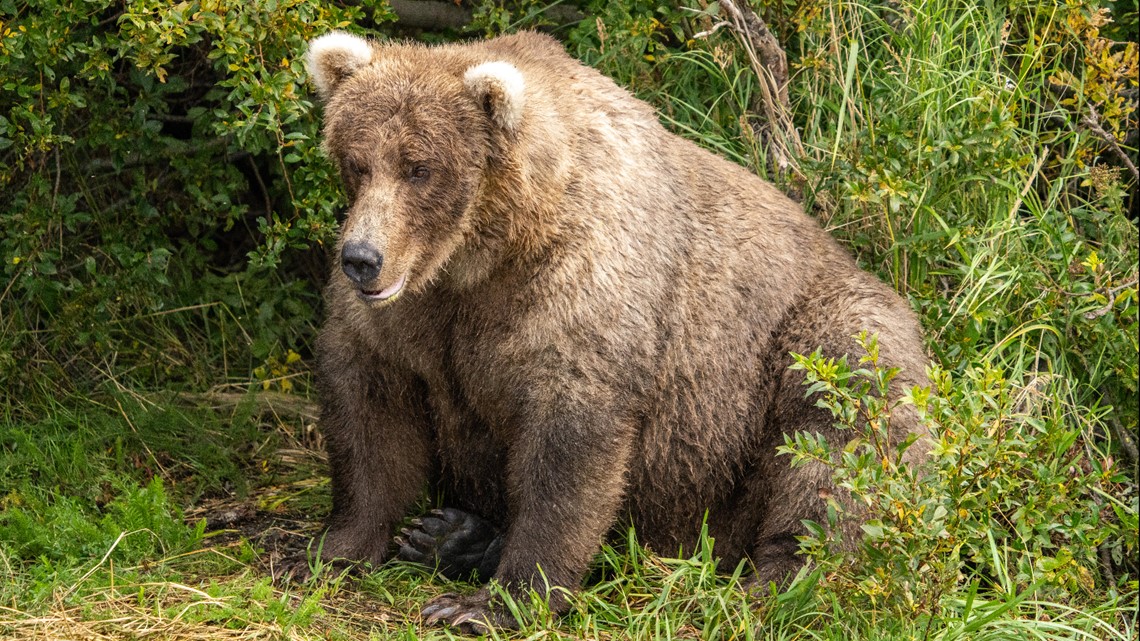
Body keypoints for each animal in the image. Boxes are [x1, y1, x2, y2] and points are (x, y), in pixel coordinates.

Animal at [300, 30, 929, 631]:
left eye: (420, 167)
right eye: (357, 161)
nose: (362, 258)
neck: (482, 256)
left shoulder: (580, 293)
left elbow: (570, 448)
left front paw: (490, 603)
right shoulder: (410, 320)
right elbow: (369, 414)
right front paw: (331, 551)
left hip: (808, 348)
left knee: (835, 444)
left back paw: (775, 584)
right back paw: (452, 535)